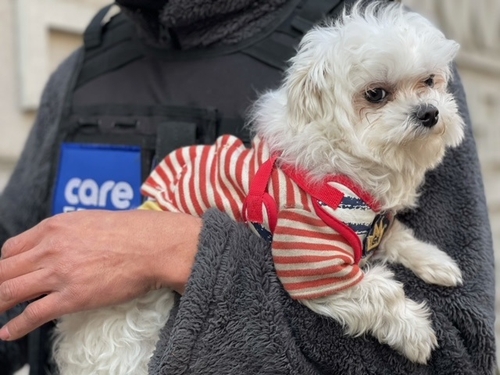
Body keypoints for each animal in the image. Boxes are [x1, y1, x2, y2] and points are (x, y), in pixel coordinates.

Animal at [52, 1, 462, 374]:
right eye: (376, 93)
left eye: (429, 81)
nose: (429, 112)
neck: (346, 166)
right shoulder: (310, 261)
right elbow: (377, 293)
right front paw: (415, 331)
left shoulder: (374, 224)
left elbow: (399, 236)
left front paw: (435, 261)